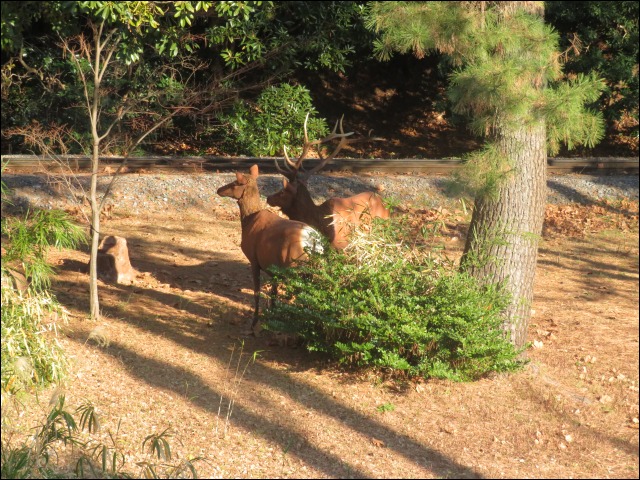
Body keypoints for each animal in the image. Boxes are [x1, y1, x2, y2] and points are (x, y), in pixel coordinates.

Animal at [218, 163, 324, 328]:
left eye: (235, 183)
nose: (219, 190)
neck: (248, 220)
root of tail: (313, 242)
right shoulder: (274, 268)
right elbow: (273, 293)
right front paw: (270, 316)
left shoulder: (254, 259)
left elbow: (257, 293)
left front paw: (254, 322)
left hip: (295, 267)